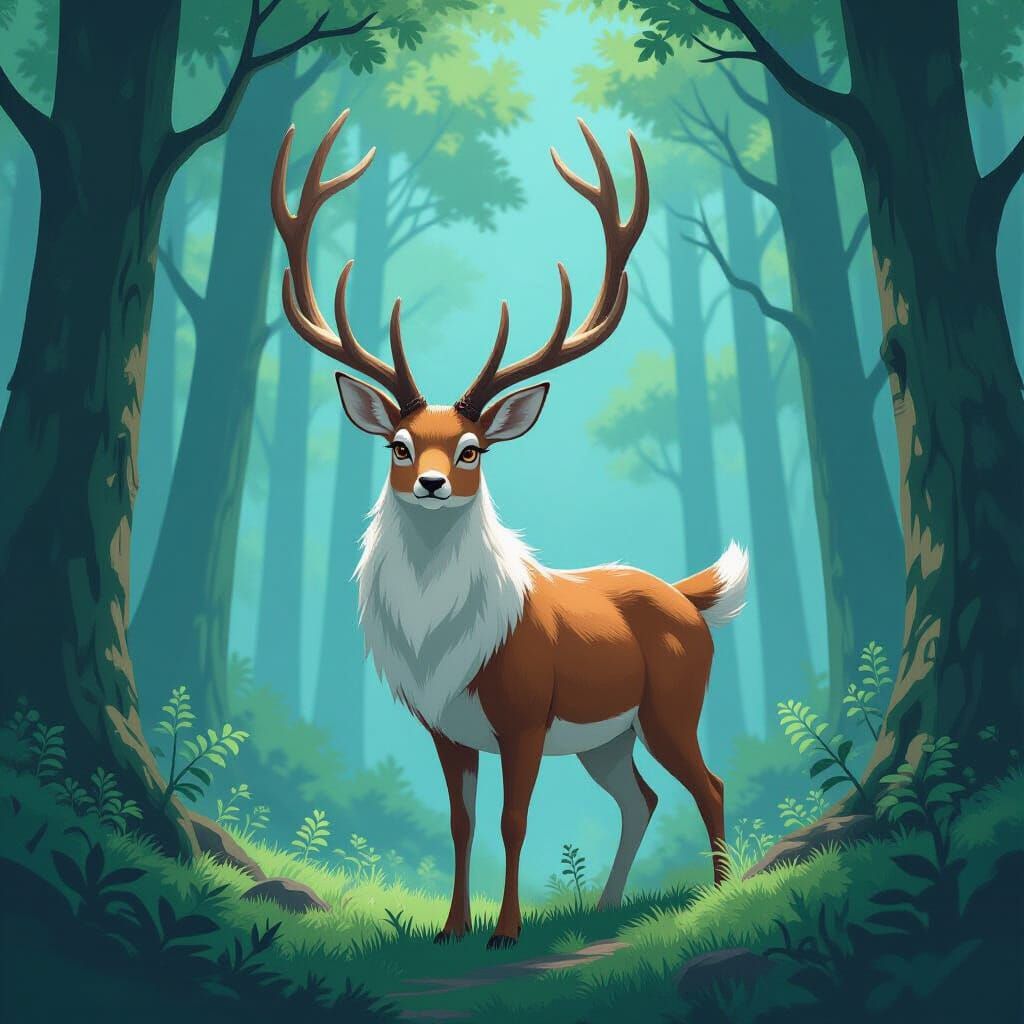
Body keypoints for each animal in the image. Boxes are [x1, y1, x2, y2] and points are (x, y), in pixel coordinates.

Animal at [271, 109, 749, 949]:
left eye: (471, 449)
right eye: (399, 446)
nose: (430, 484)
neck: (442, 647)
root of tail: (689, 596)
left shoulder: (525, 713)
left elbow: (513, 821)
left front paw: (507, 931)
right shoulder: (446, 727)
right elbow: (461, 825)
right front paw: (453, 928)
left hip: (669, 705)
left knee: (710, 784)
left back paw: (718, 895)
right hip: (606, 736)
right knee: (642, 798)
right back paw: (606, 906)